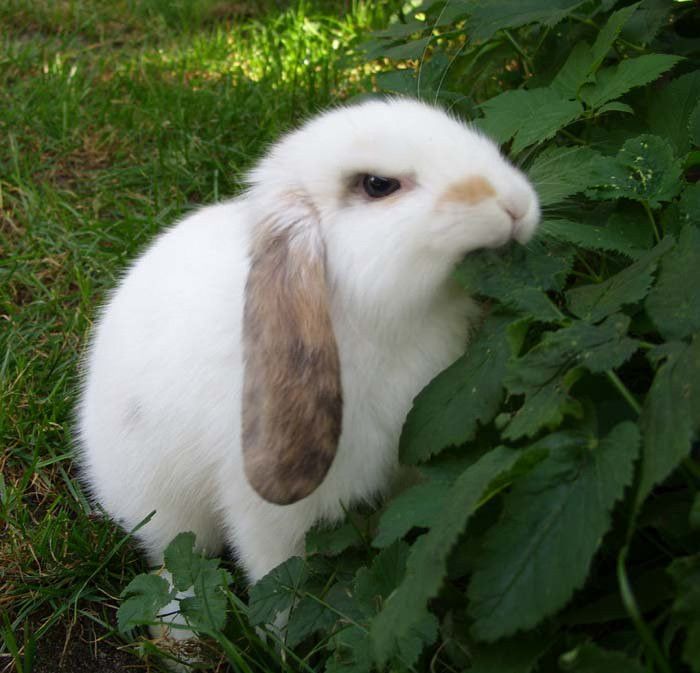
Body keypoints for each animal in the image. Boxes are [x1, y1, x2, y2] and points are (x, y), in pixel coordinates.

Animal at [77, 98, 539, 618]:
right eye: (377, 185)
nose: (516, 205)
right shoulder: (266, 515)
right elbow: (279, 581)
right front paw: (282, 632)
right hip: (165, 509)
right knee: (176, 563)